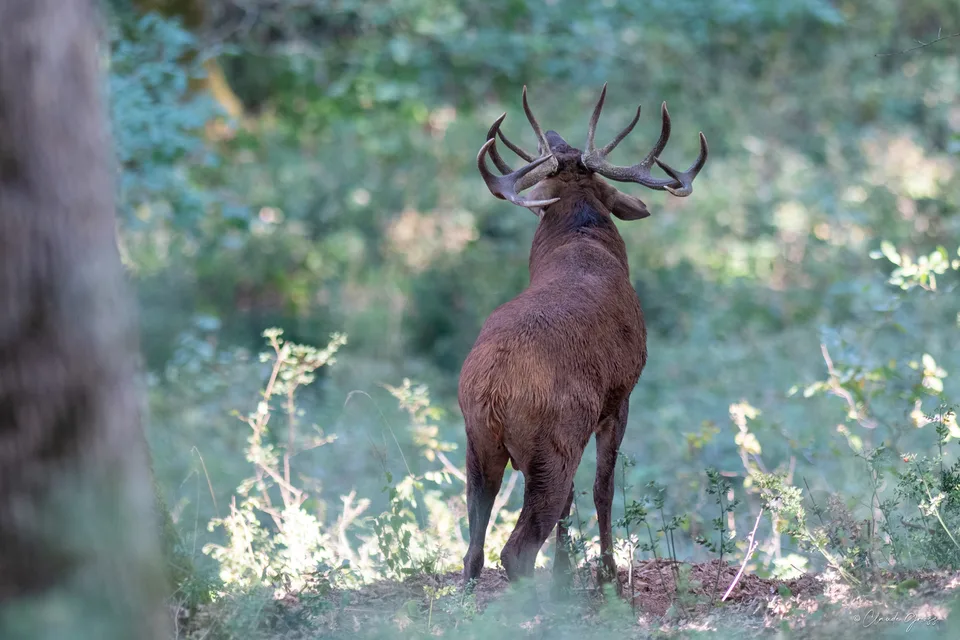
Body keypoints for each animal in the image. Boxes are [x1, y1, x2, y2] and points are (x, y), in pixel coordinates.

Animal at [458, 84, 707, 593]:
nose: (556, 138)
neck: (580, 243)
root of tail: (493, 389)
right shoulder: (620, 393)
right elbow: (603, 487)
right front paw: (607, 574)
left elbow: (576, 501)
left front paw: (564, 572)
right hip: (552, 441)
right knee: (515, 548)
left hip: (479, 442)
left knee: (473, 548)